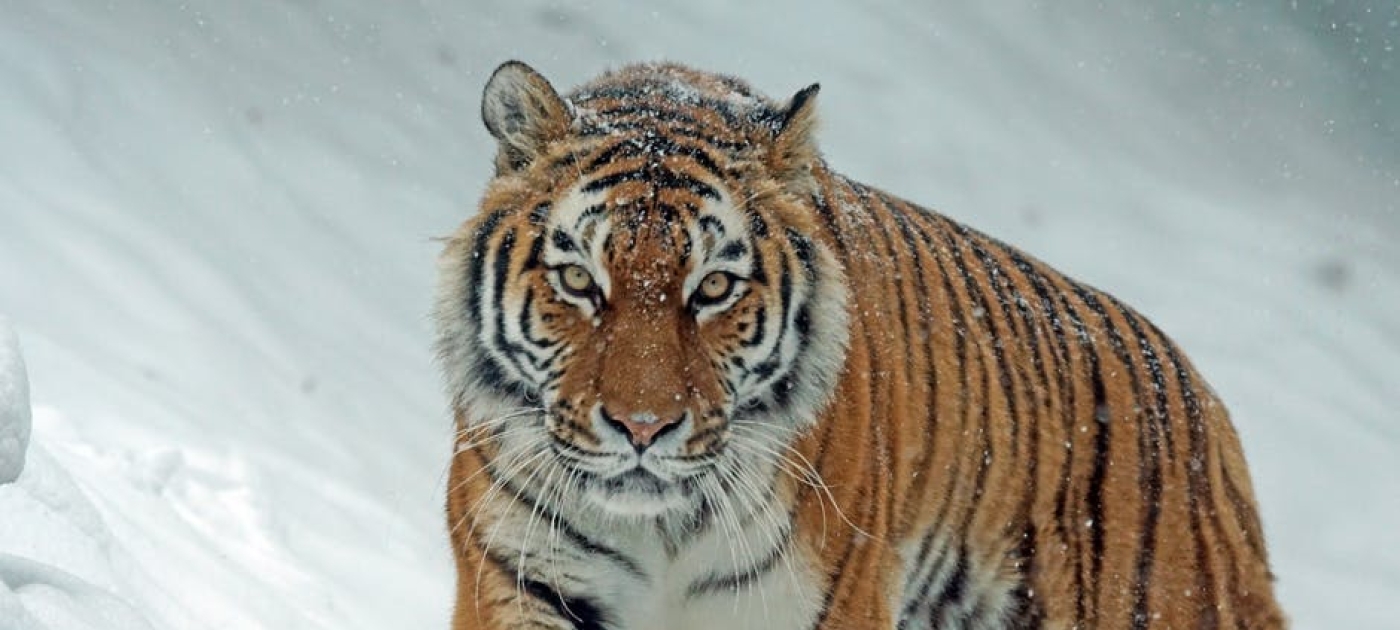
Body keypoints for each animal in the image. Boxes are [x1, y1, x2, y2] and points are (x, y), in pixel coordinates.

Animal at [433, 60, 1286, 630]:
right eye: (580, 279)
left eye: (714, 288)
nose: (643, 429)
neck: (663, 533)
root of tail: (1209, 409)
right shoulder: (520, 578)